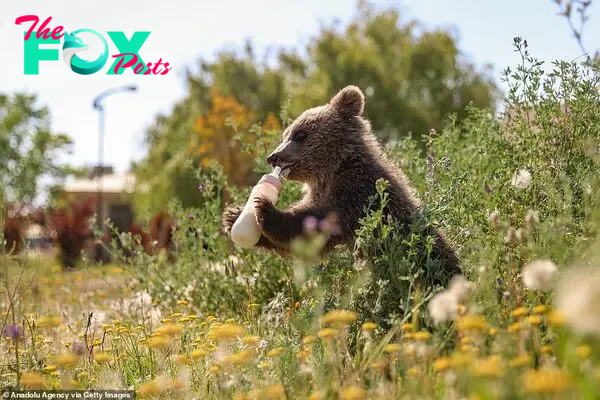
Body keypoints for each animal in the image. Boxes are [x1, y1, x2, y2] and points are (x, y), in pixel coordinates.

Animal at [223, 86, 462, 282]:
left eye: (300, 134)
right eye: (285, 134)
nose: (273, 156)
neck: (334, 169)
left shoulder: (359, 192)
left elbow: (319, 224)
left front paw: (265, 209)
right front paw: (233, 215)